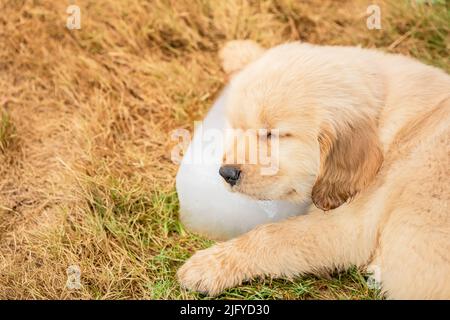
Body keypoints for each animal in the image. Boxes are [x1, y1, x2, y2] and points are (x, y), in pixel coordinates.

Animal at [177, 40, 450, 300]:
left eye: (273, 134)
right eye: (236, 128)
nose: (227, 173)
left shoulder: (345, 228)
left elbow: (269, 235)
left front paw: (208, 266)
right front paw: (241, 52)